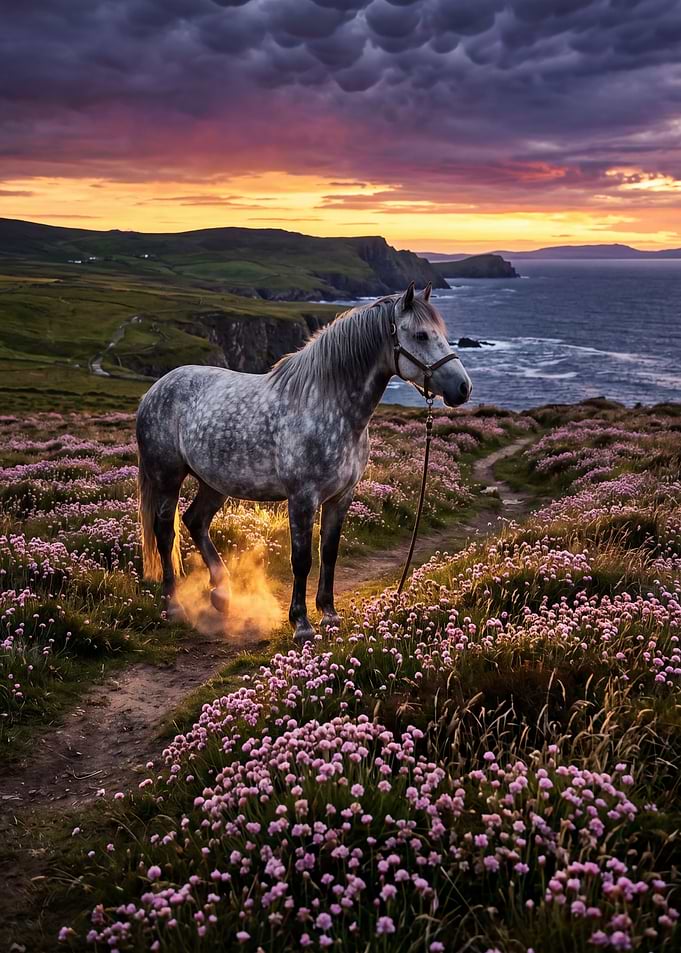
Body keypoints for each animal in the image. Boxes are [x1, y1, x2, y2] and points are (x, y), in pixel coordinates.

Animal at [136, 281, 472, 642]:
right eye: (421, 335)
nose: (463, 388)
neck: (328, 404)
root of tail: (154, 390)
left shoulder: (341, 497)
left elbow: (329, 552)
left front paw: (329, 613)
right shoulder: (302, 498)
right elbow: (301, 559)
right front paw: (301, 622)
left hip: (215, 483)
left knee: (195, 522)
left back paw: (222, 594)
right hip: (168, 478)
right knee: (164, 533)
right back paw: (174, 605)